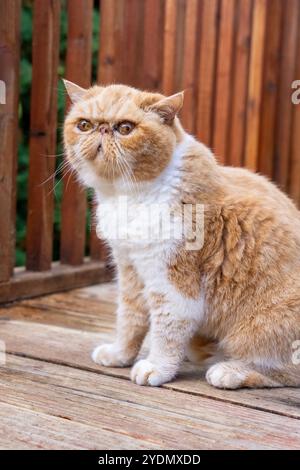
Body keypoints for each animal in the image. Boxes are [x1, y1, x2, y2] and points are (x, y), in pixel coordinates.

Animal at [63, 80, 300, 390]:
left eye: (125, 128)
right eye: (84, 125)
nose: (102, 129)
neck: (127, 197)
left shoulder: (172, 283)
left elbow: (167, 330)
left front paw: (156, 367)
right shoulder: (131, 271)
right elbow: (130, 320)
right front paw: (120, 354)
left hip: (258, 329)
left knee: (284, 371)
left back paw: (229, 371)